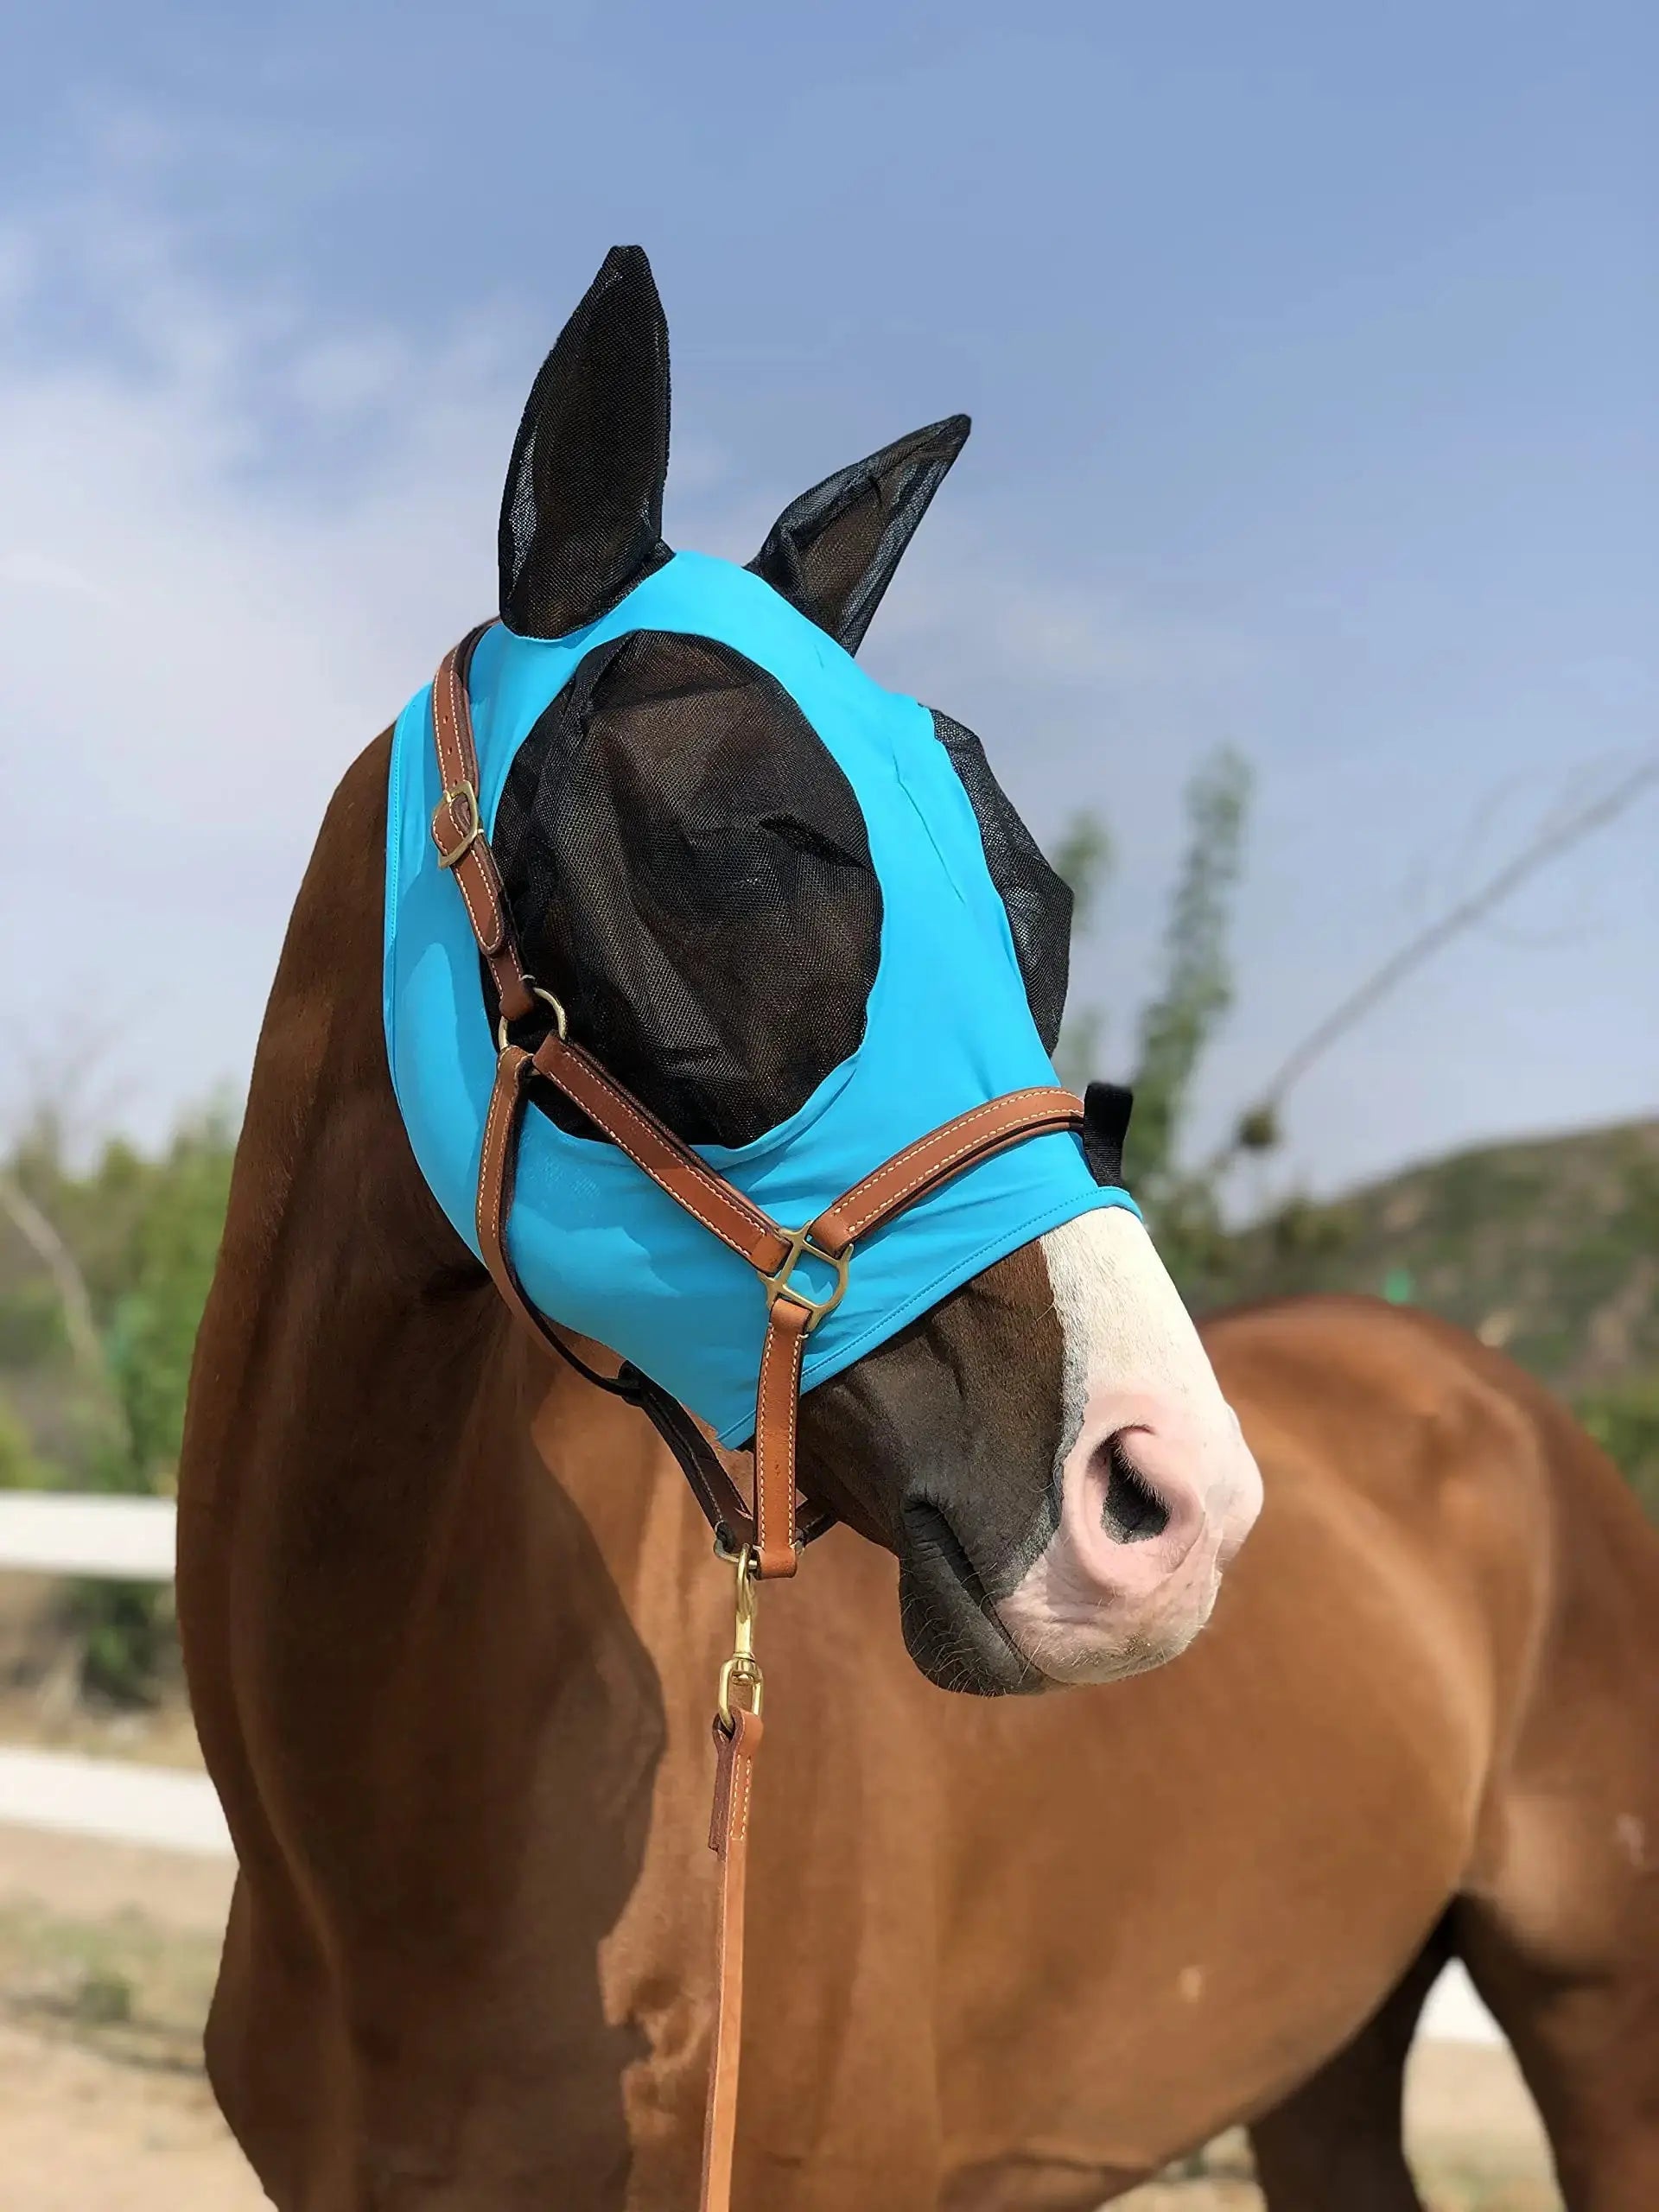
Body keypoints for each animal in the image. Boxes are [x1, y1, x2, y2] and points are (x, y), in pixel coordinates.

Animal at [175, 250, 1658, 2210]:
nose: (1173, 1506)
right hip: (1328, 2057)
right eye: (739, 839)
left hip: (1602, 2027)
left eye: (1039, 898)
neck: (391, 1863)